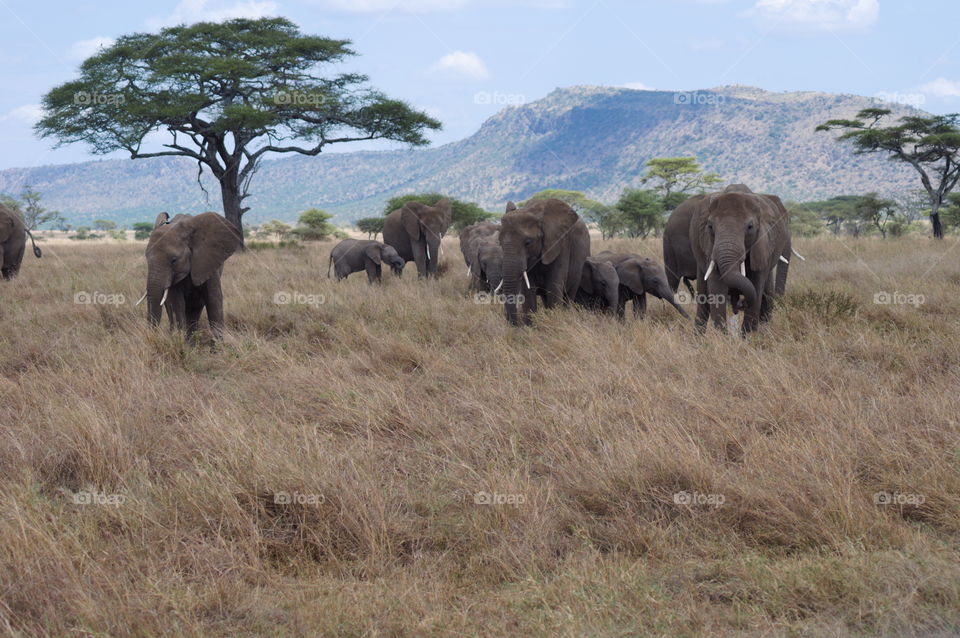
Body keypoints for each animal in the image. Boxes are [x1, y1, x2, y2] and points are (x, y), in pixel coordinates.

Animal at [141, 211, 242, 340]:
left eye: (174, 260)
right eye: (146, 258)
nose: (151, 336)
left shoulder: (208, 261)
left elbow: (214, 299)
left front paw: (219, 343)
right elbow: (177, 303)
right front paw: (181, 340)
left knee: (195, 309)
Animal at [689, 188, 790, 334]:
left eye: (750, 227)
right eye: (710, 226)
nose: (741, 302)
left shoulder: (762, 245)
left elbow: (756, 288)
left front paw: (749, 337)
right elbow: (716, 289)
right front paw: (722, 337)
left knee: (767, 296)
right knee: (703, 300)